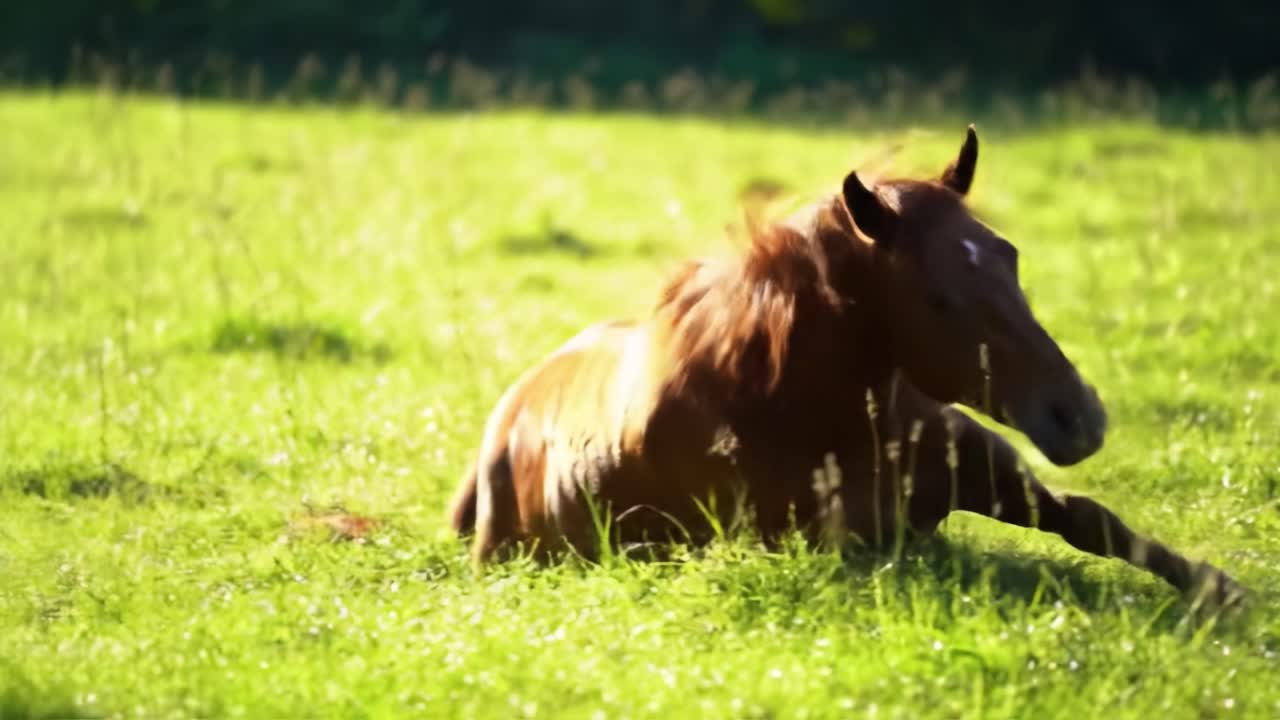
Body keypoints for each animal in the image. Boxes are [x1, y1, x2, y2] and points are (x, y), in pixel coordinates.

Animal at [446, 126, 1242, 606]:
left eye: (1009, 255)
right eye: (938, 297)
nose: (1076, 417)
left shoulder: (999, 477)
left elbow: (1094, 521)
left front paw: (1224, 591)